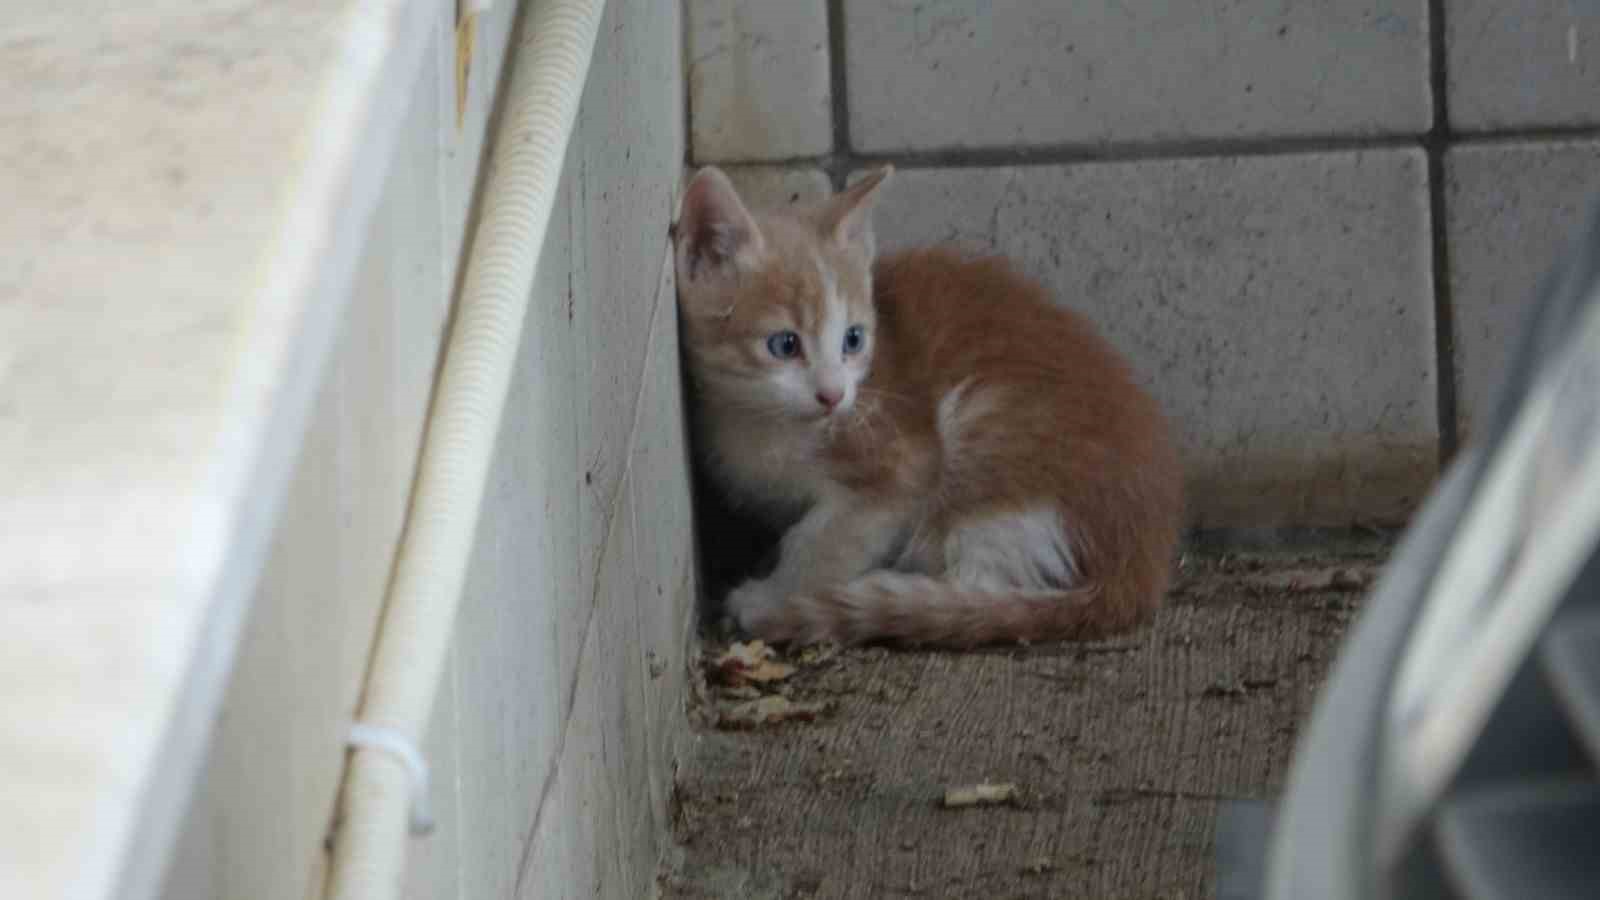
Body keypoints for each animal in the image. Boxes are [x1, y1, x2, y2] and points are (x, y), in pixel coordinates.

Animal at [668, 166, 1184, 643]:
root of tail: (1141, 563)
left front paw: (776, 594)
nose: (833, 395)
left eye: (853, 339)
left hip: (985, 435)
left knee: (979, 585)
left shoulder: (899, 466)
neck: (766, 422)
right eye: (785, 345)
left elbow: (822, 541)